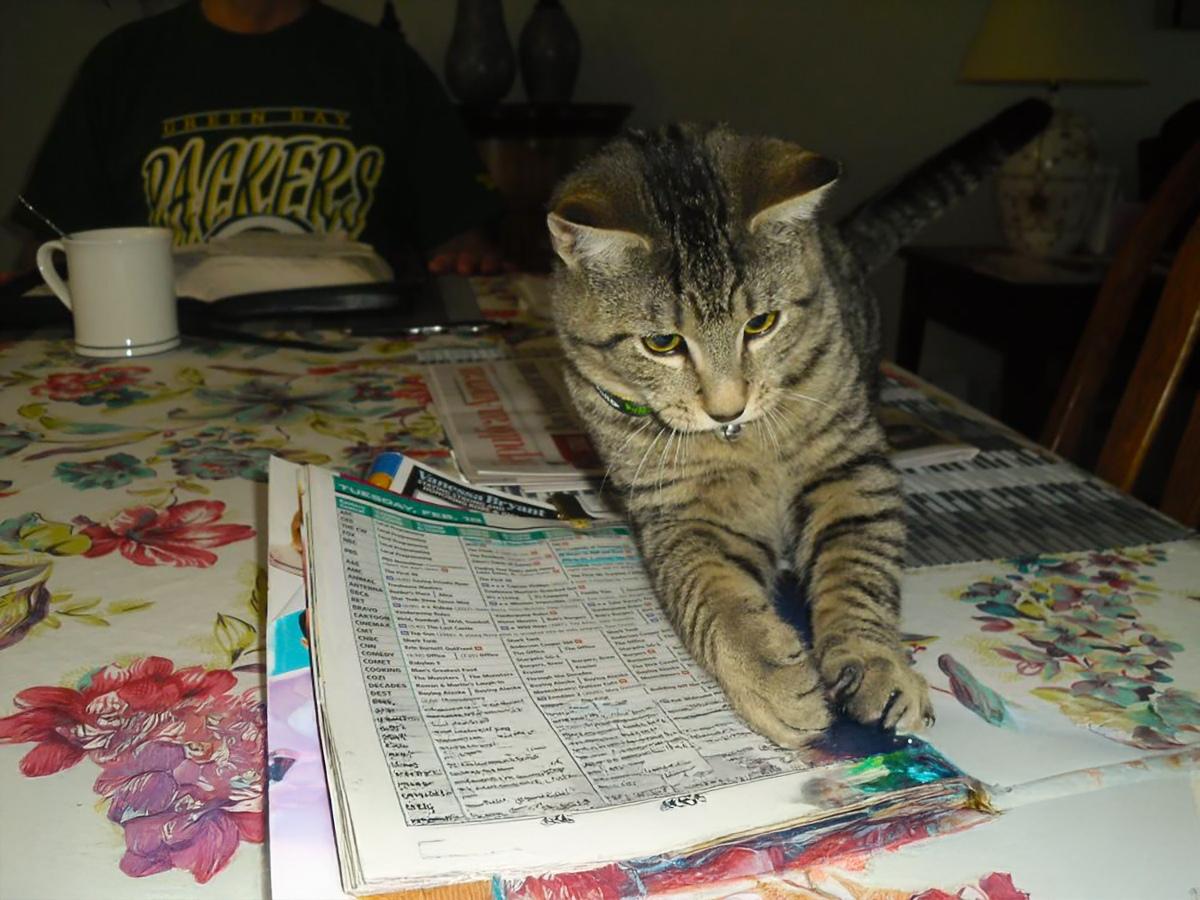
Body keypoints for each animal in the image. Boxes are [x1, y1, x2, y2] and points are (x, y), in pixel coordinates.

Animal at [549, 102, 1046, 748]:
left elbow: (858, 570)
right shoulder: (680, 513)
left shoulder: (852, 468)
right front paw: (770, 676)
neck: (742, 443)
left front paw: (875, 661)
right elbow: (715, 596)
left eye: (761, 323)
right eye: (662, 343)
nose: (728, 408)